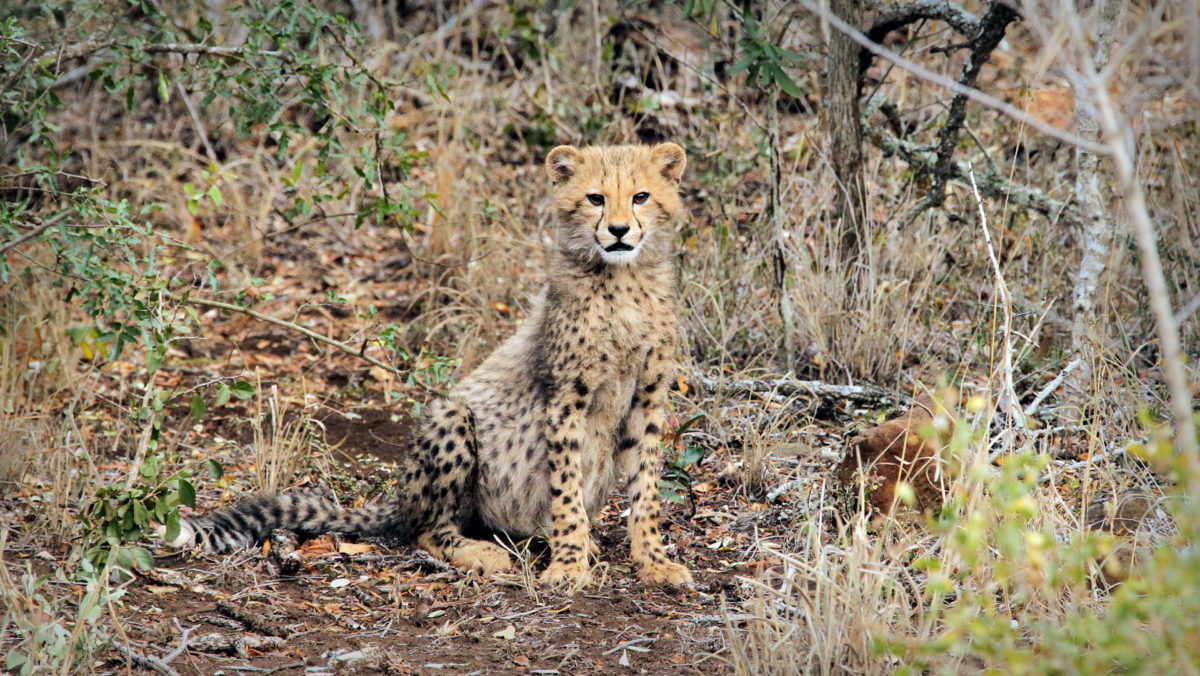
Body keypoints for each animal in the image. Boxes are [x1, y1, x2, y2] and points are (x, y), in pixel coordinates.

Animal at [160, 143, 693, 586]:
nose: (619, 231)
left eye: (641, 196)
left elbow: (646, 488)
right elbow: (565, 488)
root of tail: (399, 498)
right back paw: (484, 553)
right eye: (595, 198)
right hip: (452, 418)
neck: (621, 282)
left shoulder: (647, 399)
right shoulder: (565, 400)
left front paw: (653, 562)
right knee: (428, 529)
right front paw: (569, 565)